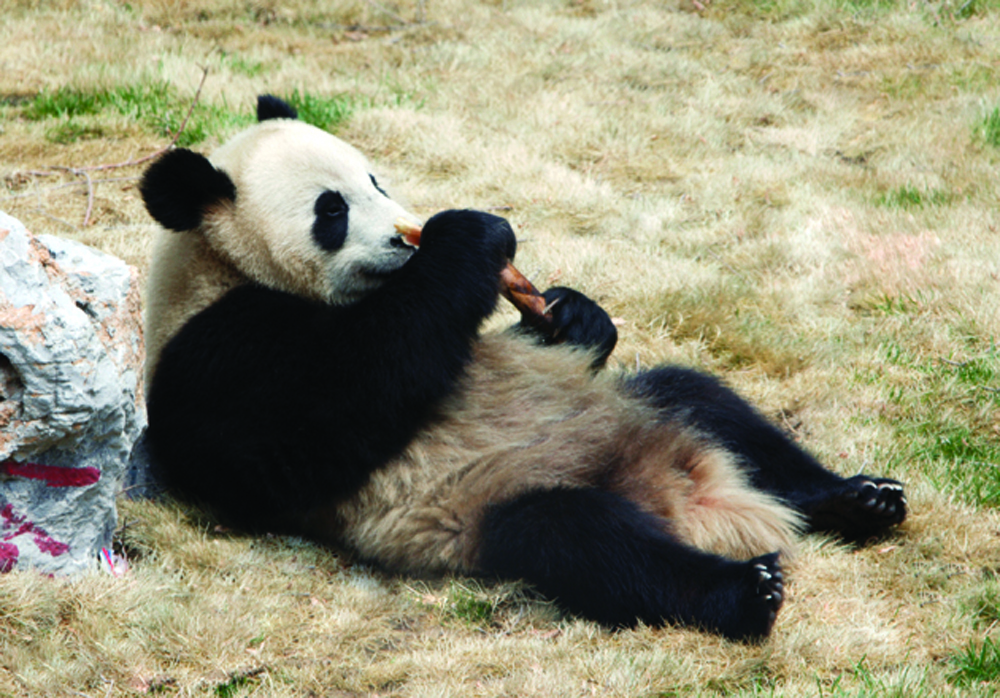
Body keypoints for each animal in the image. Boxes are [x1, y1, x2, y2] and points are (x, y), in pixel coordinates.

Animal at [139, 94, 907, 642]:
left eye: (374, 179)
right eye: (332, 210)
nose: (404, 236)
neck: (224, 266)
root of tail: (697, 499)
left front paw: (573, 314)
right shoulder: (219, 354)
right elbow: (327, 418)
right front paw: (469, 237)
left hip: (653, 414)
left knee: (701, 398)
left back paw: (854, 499)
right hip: (497, 507)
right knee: (587, 542)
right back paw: (747, 591)